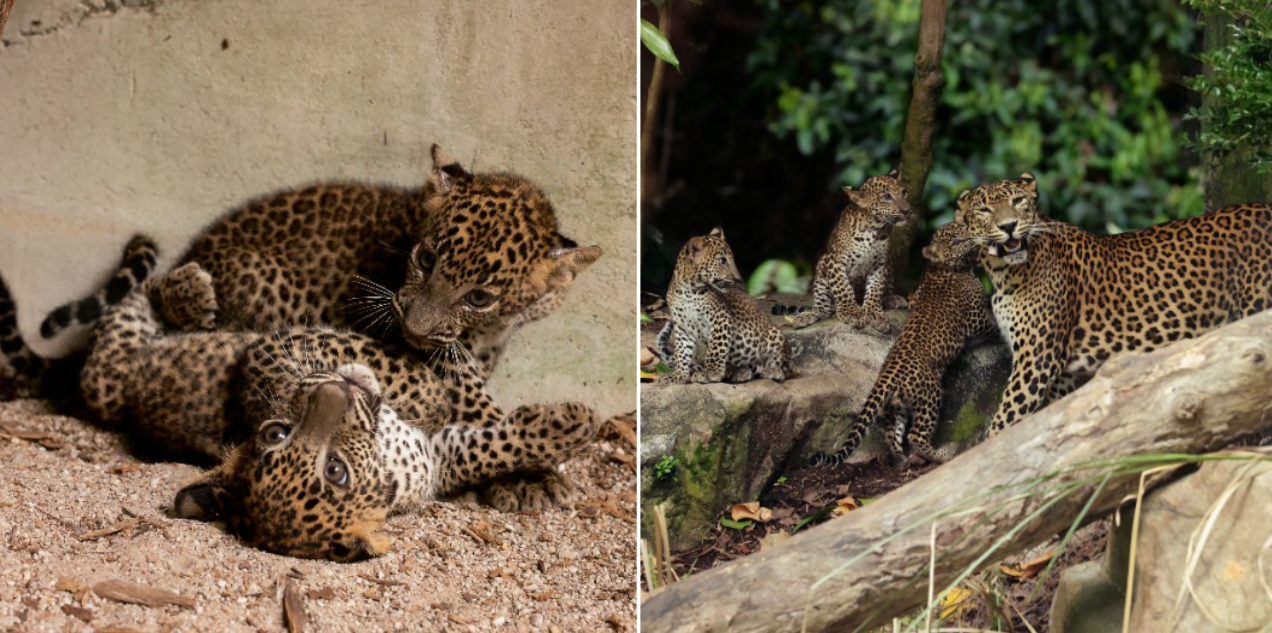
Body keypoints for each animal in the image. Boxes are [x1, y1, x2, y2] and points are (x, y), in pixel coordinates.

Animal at [76, 263, 598, 560]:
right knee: (127, 306)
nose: (335, 393)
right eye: (335, 472)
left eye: (276, 433)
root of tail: (125, 399)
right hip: (104, 378)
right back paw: (187, 289)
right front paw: (573, 420)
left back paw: (190, 293)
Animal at [657, 227, 791, 384]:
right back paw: (740, 372)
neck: (688, 290)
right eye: (722, 260)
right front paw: (677, 375)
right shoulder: (684, 327)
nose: (739, 279)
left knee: (785, 368)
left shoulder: (721, 318)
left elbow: (716, 348)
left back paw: (772, 371)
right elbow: (681, 353)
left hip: (775, 336)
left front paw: (712, 372)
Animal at [789, 167, 912, 333]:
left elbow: (876, 288)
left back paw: (892, 298)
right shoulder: (835, 261)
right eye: (886, 197)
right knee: (824, 309)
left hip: (890, 264)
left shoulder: (880, 263)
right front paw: (851, 312)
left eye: (903, 192)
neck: (874, 229)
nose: (907, 210)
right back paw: (805, 316)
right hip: (821, 266)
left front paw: (874, 312)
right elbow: (843, 287)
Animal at [812, 221, 998, 467]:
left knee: (893, 436)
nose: (977, 237)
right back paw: (941, 455)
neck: (942, 268)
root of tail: (888, 374)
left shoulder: (914, 297)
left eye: (966, 230)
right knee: (915, 435)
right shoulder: (976, 317)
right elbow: (992, 326)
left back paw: (903, 461)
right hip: (930, 395)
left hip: (895, 406)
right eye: (958, 240)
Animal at [956, 172, 1272, 433]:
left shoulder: (1036, 361)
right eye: (984, 210)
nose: (1009, 226)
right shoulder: (1059, 374)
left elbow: (1004, 421)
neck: (1004, 274)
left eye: (1018, 201)